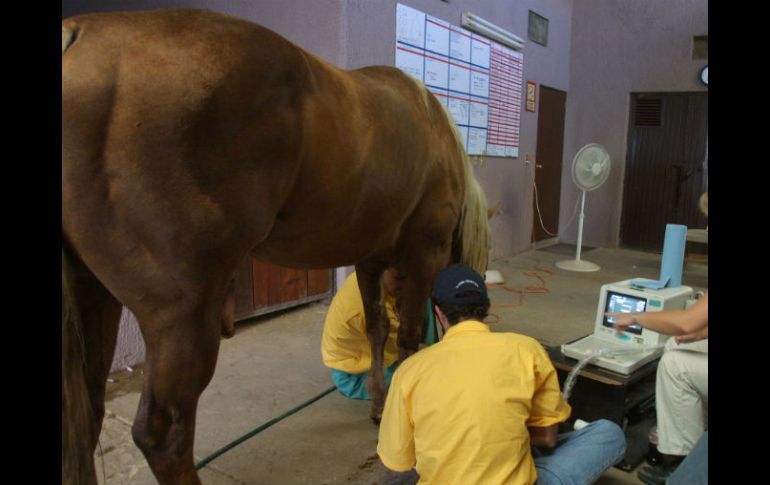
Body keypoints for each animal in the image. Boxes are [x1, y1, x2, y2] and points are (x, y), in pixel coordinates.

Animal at [63, 8, 488, 484]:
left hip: (96, 300)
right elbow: (411, 338)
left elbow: (378, 331)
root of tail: (77, 37)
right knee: (162, 432)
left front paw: (381, 407)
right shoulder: (425, 251)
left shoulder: (370, 261)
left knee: (87, 420)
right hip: (181, 316)